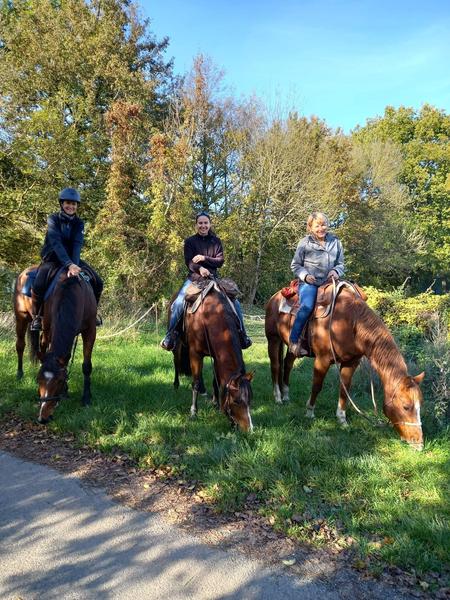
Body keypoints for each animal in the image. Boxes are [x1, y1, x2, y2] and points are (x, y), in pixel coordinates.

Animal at [14, 264, 97, 424]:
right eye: (39, 379)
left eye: (59, 381)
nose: (43, 418)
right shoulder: (49, 328)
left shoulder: (90, 331)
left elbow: (85, 365)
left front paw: (85, 398)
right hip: (21, 318)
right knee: (21, 345)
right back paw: (19, 374)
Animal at [174, 282, 255, 432]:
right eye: (236, 401)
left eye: (250, 400)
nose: (249, 430)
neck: (209, 316)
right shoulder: (195, 353)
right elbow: (195, 382)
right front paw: (193, 412)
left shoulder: (217, 357)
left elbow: (215, 381)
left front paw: (215, 403)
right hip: (178, 345)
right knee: (177, 364)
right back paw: (176, 385)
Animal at [266, 284, 428, 448]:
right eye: (406, 406)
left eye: (421, 404)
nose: (419, 443)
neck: (351, 322)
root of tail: (275, 297)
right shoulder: (322, 360)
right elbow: (317, 386)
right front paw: (310, 412)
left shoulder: (351, 362)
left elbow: (344, 389)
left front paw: (342, 419)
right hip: (273, 339)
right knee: (276, 366)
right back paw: (278, 397)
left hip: (293, 348)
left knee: (287, 364)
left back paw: (286, 395)